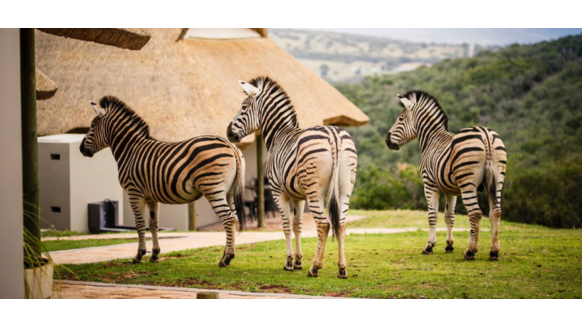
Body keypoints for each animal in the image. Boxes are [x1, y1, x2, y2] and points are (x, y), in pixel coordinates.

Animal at [78, 95, 245, 266]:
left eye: (92, 126)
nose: (80, 148)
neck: (130, 150)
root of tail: (230, 145)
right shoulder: (151, 197)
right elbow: (153, 225)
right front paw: (154, 255)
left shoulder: (134, 192)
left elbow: (139, 224)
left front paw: (139, 255)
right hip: (230, 192)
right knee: (234, 218)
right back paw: (228, 255)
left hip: (213, 188)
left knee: (228, 219)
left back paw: (225, 258)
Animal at [226, 77, 358, 280]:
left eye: (243, 107)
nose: (228, 133)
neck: (279, 134)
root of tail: (333, 135)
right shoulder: (298, 196)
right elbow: (298, 225)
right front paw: (298, 261)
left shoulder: (278, 192)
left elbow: (287, 224)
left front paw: (289, 262)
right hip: (344, 190)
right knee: (341, 225)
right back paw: (342, 269)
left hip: (315, 193)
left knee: (324, 225)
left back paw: (315, 267)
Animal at [388, 91, 506, 260]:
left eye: (401, 119)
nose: (387, 141)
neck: (431, 139)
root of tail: (485, 134)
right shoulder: (451, 190)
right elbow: (449, 216)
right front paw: (449, 245)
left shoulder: (429, 184)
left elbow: (432, 215)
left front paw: (429, 246)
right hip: (497, 179)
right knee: (496, 212)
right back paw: (494, 251)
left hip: (467, 182)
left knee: (475, 213)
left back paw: (470, 251)